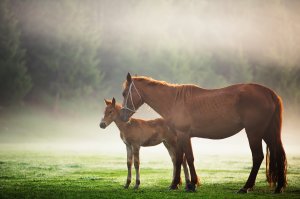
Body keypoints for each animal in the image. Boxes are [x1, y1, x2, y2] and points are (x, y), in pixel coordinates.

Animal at [119, 72, 286, 193]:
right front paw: (178, 184)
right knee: (277, 154)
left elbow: (187, 158)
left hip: (254, 132)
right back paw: (279, 187)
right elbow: (181, 159)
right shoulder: (181, 136)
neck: (174, 101)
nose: (123, 116)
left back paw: (246, 187)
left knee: (257, 157)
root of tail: (270, 93)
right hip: (267, 132)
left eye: (124, 93)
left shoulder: (183, 134)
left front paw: (190, 185)